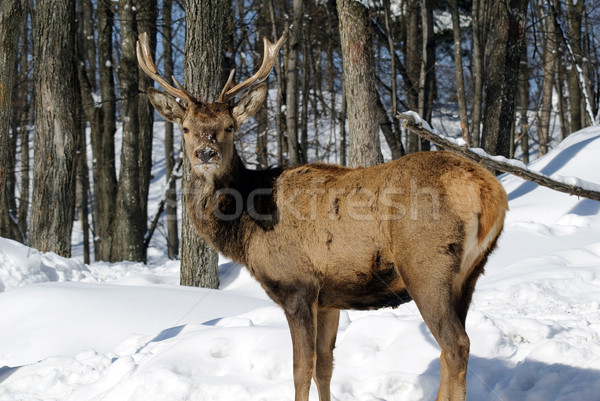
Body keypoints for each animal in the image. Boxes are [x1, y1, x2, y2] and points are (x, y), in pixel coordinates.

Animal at [137, 32, 506, 400]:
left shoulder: (297, 285)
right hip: (470, 272)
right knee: (450, 348)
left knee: (455, 344)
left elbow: (301, 369)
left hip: (427, 265)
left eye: (229, 127)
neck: (244, 232)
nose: (206, 153)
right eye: (186, 128)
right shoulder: (329, 298)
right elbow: (325, 366)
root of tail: (489, 191)